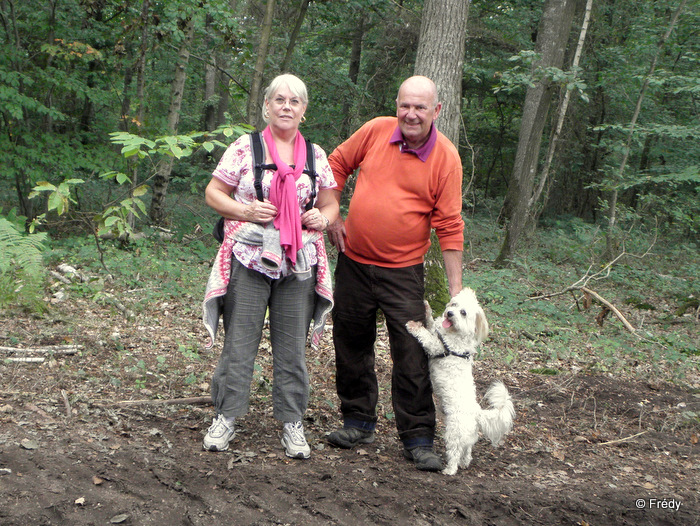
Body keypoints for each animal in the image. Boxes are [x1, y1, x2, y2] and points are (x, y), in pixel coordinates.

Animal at [404, 288, 516, 478]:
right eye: (454, 304)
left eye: (463, 313)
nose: (449, 313)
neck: (454, 333)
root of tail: (477, 413)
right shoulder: (437, 333)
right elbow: (430, 323)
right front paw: (427, 307)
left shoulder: (437, 346)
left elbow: (426, 335)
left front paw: (413, 326)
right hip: (466, 435)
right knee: (467, 450)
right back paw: (465, 463)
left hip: (453, 432)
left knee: (455, 452)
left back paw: (450, 469)